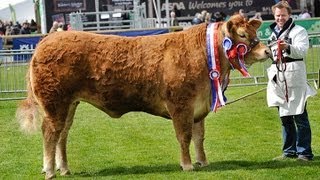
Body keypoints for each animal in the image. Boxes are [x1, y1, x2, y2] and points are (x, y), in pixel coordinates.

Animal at [16, 15, 272, 179]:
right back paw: (50, 170)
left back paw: (64, 169)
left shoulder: (199, 108)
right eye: (242, 35)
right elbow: (184, 137)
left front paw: (203, 161)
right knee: (50, 134)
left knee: (62, 136)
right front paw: (188, 165)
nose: (268, 50)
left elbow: (199, 137)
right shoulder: (180, 105)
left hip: (69, 105)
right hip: (54, 103)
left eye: (254, 33)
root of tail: (46, 41)